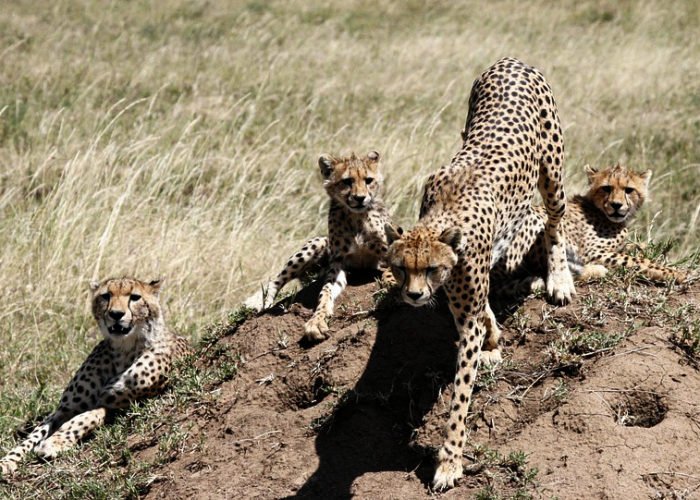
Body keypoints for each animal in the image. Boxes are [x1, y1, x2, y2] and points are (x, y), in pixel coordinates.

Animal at [0, 278, 189, 476]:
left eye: (135, 297)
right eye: (106, 296)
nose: (116, 314)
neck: (123, 349)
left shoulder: (121, 405)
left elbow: (86, 417)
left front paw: (54, 442)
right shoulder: (64, 409)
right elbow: (33, 436)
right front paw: (7, 460)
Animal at [245, 150, 396, 342]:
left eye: (368, 180)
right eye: (347, 181)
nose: (360, 198)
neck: (355, 216)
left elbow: (393, 268)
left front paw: (392, 283)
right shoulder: (338, 263)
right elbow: (325, 292)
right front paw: (317, 321)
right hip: (318, 243)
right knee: (278, 279)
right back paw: (259, 300)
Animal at [386, 57, 576, 488]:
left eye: (431, 268)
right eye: (401, 268)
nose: (414, 296)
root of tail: (511, 60)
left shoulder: (465, 307)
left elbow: (460, 393)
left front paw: (449, 461)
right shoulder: (461, 303)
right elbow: (480, 312)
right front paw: (493, 336)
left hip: (552, 172)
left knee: (554, 220)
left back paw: (558, 278)